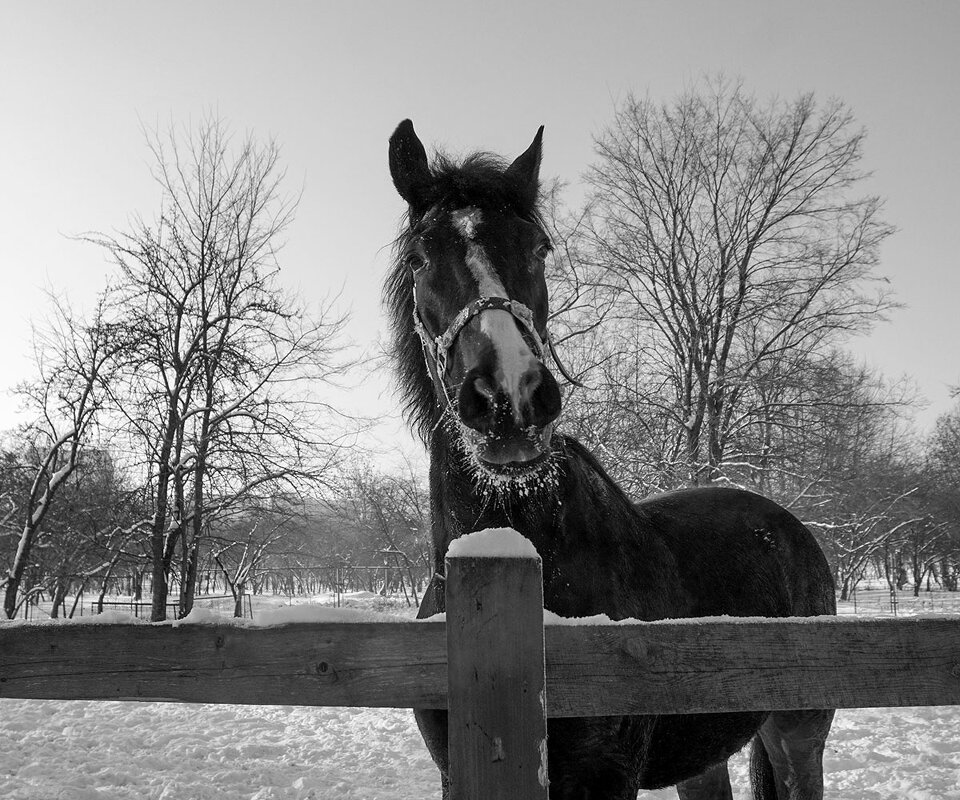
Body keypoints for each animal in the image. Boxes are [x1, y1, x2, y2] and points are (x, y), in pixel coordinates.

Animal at [386, 120, 836, 800]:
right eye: (419, 257)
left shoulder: (604, 777)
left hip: (796, 735)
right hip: (704, 754)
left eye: (540, 247)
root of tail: (790, 527)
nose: (508, 396)